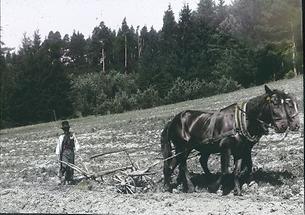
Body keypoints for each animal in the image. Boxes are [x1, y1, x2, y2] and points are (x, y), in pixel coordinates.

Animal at [160, 85, 298, 195]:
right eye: (274, 103)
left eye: (285, 104)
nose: (283, 126)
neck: (241, 121)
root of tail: (173, 120)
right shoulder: (225, 148)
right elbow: (226, 171)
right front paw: (214, 187)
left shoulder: (241, 150)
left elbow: (238, 170)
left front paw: (238, 189)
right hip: (183, 147)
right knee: (183, 165)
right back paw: (190, 186)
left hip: (192, 148)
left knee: (176, 164)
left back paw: (170, 186)